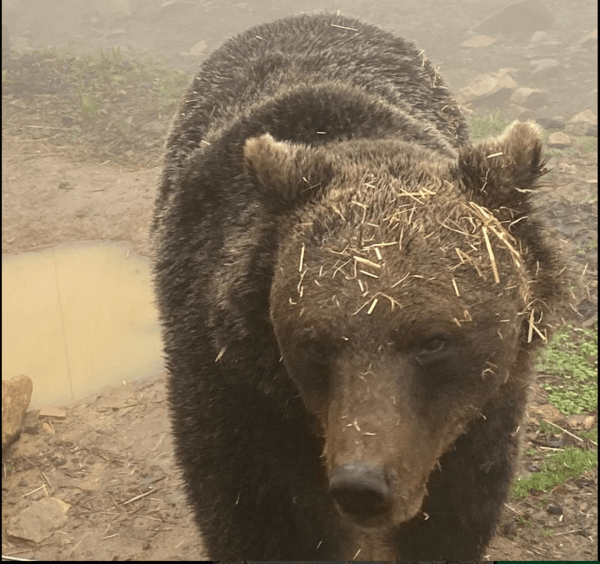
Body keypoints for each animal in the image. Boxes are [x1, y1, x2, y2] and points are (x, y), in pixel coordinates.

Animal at [150, 12, 568, 560]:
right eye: (314, 342)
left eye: (434, 340)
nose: (362, 486)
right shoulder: (233, 384)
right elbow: (254, 516)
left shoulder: (483, 414)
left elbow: (455, 516)